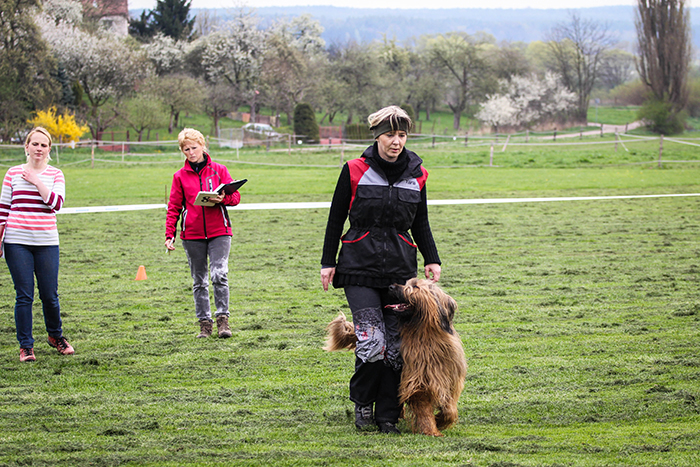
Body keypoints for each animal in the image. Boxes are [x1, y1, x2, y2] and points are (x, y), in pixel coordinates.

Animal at [326, 280, 468, 436]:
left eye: (415, 286)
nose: (391, 287)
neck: (426, 336)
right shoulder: (417, 379)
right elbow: (423, 406)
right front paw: (431, 429)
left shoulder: (450, 380)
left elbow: (450, 410)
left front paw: (440, 420)